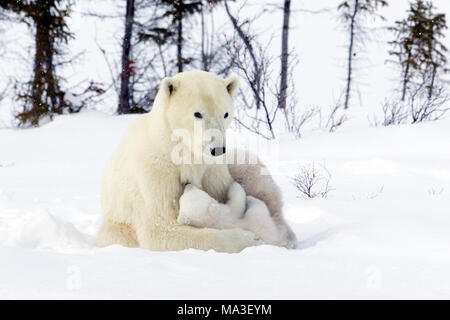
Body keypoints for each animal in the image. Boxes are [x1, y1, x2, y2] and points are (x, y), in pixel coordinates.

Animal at [97, 70, 296, 252]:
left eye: (225, 113)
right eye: (198, 113)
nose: (217, 149)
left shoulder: (213, 169)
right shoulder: (154, 173)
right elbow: (160, 228)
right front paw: (249, 238)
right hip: (117, 225)